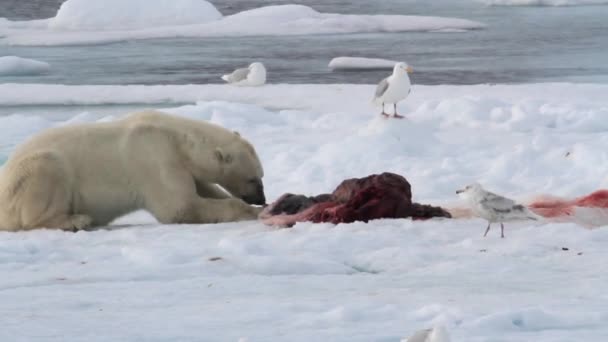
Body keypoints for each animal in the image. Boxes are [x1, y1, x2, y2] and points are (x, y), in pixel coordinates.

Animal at [0, 111, 266, 231]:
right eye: (253, 178)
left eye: (260, 176)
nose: (261, 198)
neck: (173, 137)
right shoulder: (154, 158)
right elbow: (180, 207)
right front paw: (251, 211)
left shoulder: (178, 162)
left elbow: (204, 189)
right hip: (31, 174)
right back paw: (77, 219)